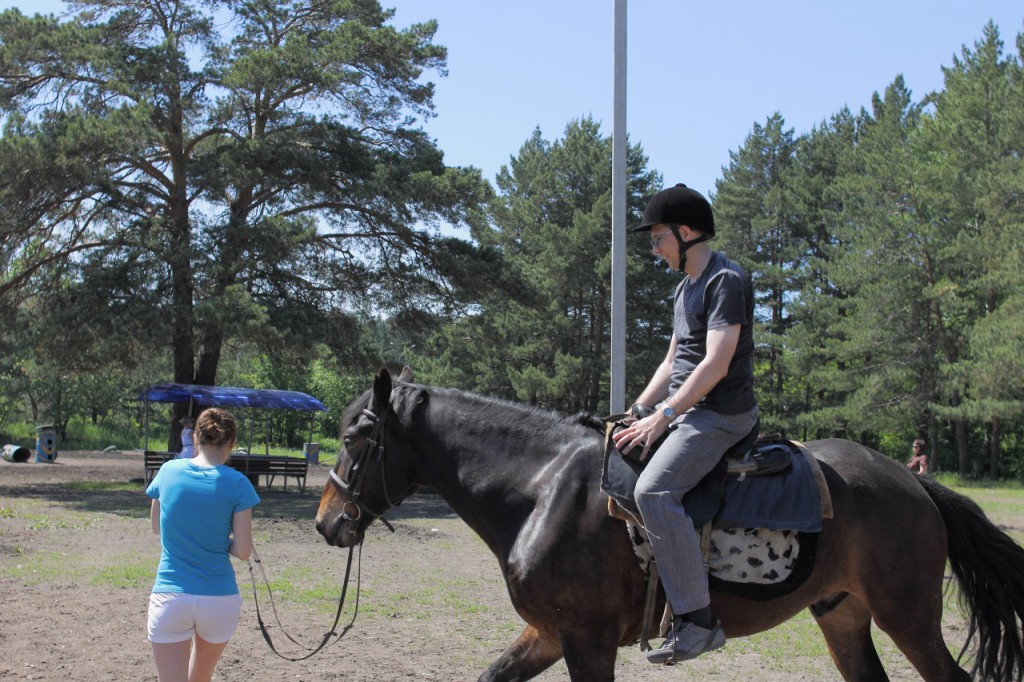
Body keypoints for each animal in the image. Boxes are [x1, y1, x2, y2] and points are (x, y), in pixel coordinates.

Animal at [313, 368, 1024, 675]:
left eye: (353, 437)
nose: (326, 523)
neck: (542, 489)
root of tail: (912, 482)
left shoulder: (587, 640)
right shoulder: (548, 633)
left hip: (910, 618)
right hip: (843, 614)